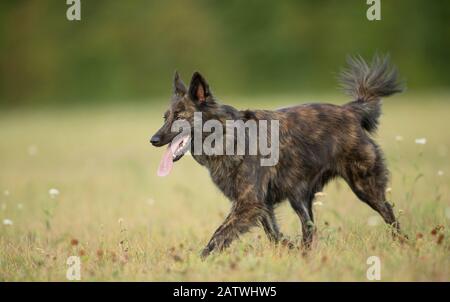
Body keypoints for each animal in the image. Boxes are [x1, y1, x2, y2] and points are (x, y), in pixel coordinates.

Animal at [150, 54, 404, 258]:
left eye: (180, 116)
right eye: (165, 117)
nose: (153, 140)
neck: (227, 136)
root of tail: (351, 110)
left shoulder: (249, 203)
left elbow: (218, 236)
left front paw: (198, 261)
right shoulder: (261, 204)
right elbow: (273, 234)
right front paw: (288, 249)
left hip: (364, 186)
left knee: (389, 214)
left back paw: (403, 245)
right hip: (299, 198)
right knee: (309, 229)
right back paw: (305, 256)